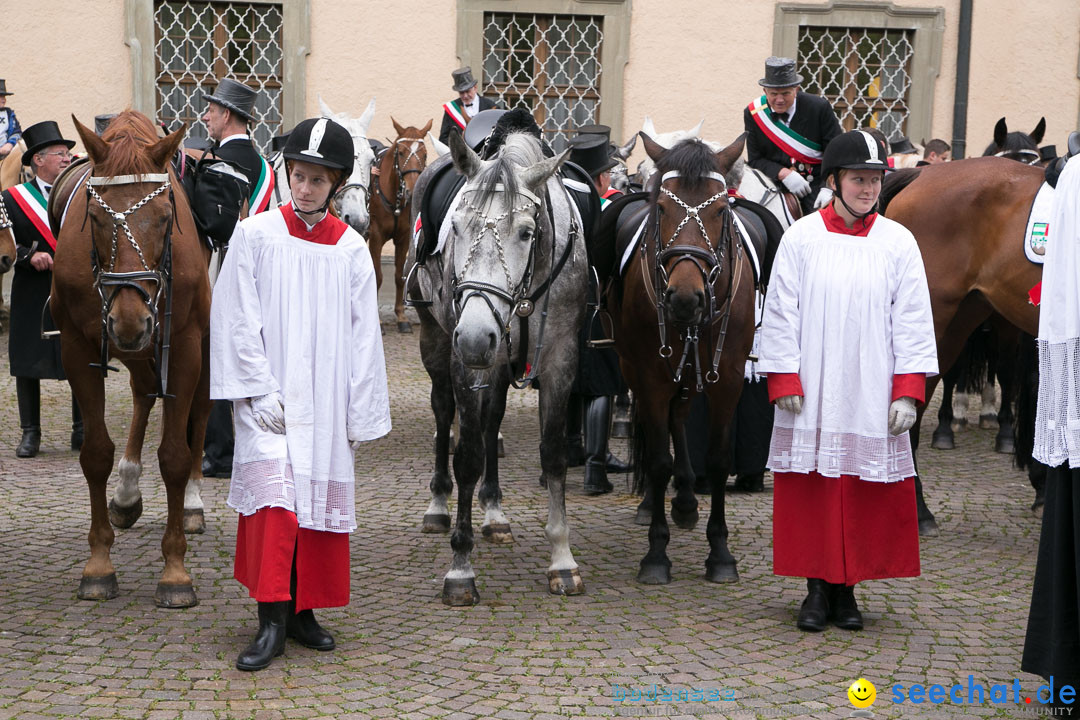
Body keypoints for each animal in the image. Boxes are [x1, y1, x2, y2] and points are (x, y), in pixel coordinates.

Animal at [51, 111, 210, 608]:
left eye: (164, 218)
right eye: (95, 217)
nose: (128, 318)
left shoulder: (185, 345)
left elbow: (175, 455)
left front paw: (175, 572)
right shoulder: (77, 349)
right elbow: (95, 454)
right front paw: (99, 564)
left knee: (201, 411)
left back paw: (193, 502)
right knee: (143, 394)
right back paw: (126, 491)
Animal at [369, 117, 432, 332]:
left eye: (424, 153)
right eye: (402, 152)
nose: (412, 191)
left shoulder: (403, 237)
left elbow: (399, 275)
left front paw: (401, 317)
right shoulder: (375, 236)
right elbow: (378, 275)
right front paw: (378, 320)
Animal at [406, 132, 591, 604]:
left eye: (527, 232)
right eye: (456, 227)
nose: (475, 337)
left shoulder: (561, 360)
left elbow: (554, 455)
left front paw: (562, 559)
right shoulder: (466, 363)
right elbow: (467, 455)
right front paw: (460, 567)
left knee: (492, 421)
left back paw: (493, 511)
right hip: (436, 341)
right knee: (443, 414)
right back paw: (439, 505)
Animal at [604, 134, 756, 587]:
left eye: (721, 209)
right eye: (662, 208)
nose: (686, 299)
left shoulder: (728, 380)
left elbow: (719, 460)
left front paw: (720, 553)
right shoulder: (650, 378)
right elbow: (657, 461)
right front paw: (656, 553)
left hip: (689, 374)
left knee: (680, 417)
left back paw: (687, 499)